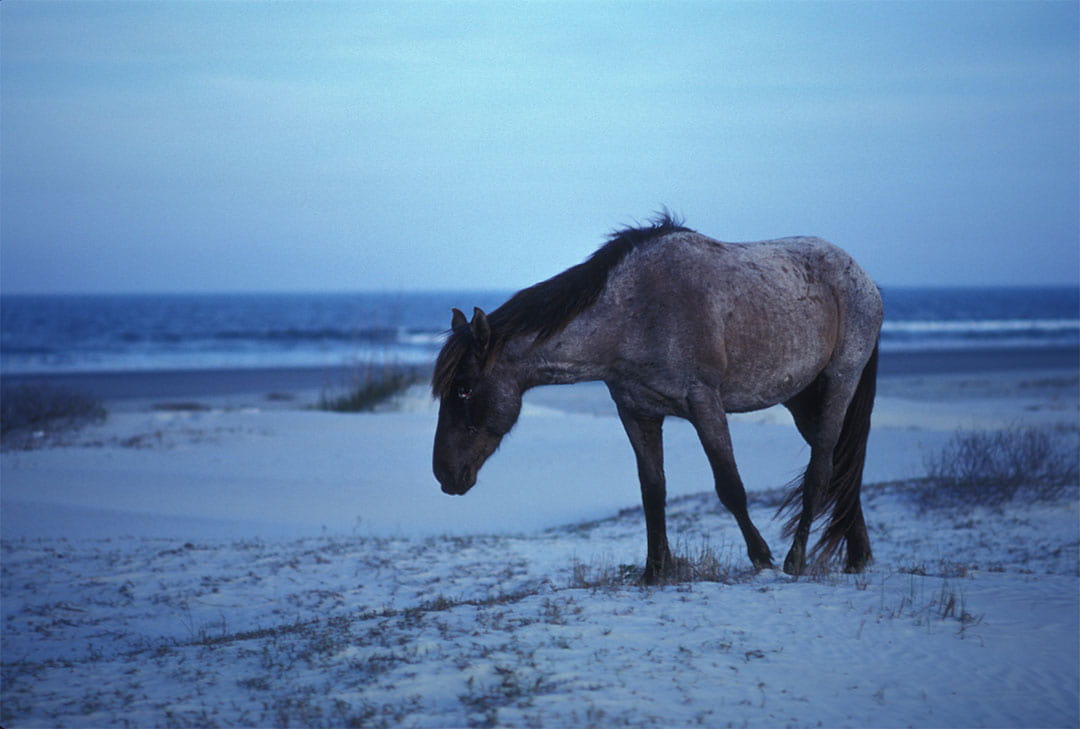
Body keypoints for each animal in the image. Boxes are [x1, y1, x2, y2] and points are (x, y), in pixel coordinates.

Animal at [434, 212, 881, 583]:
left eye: (464, 389)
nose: (445, 474)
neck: (633, 313)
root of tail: (863, 278)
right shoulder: (637, 413)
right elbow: (653, 490)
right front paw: (655, 571)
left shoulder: (704, 404)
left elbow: (729, 486)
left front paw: (761, 558)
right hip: (802, 400)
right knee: (840, 466)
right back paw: (858, 557)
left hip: (839, 381)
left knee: (822, 467)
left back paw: (796, 559)